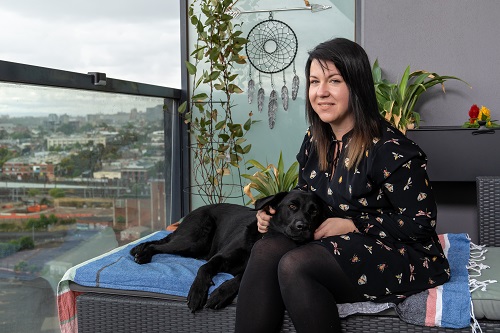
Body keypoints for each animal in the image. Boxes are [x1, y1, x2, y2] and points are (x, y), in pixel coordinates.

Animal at [129, 189, 328, 312]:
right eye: (292, 206)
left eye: (314, 212)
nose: (303, 226)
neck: (263, 238)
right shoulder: (220, 257)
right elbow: (204, 269)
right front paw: (197, 292)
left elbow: (239, 279)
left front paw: (220, 293)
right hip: (192, 242)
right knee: (157, 245)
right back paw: (142, 254)